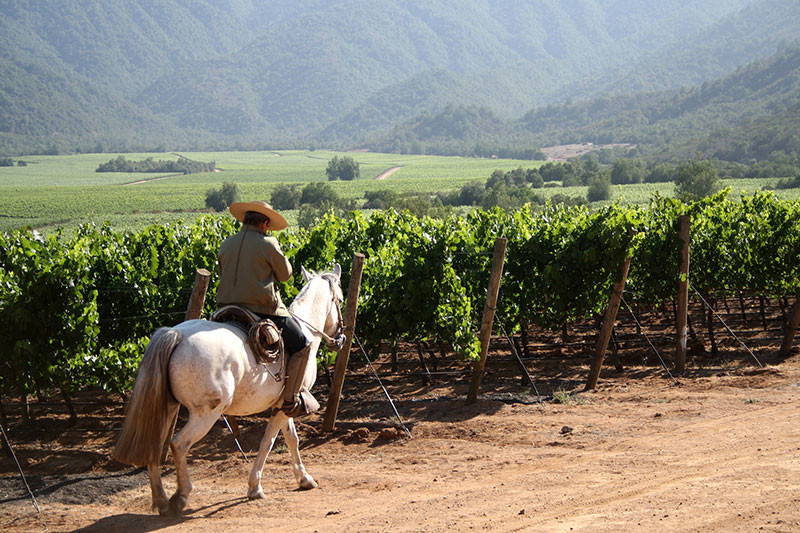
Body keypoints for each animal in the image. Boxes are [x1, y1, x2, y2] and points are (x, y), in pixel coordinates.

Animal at [111, 266, 342, 516]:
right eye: (340, 299)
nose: (340, 337)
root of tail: (176, 335)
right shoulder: (283, 407)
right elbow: (268, 442)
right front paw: (255, 487)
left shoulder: (284, 405)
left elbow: (292, 439)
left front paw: (304, 478)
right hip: (205, 415)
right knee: (178, 444)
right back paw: (181, 496)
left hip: (167, 408)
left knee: (154, 445)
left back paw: (162, 500)